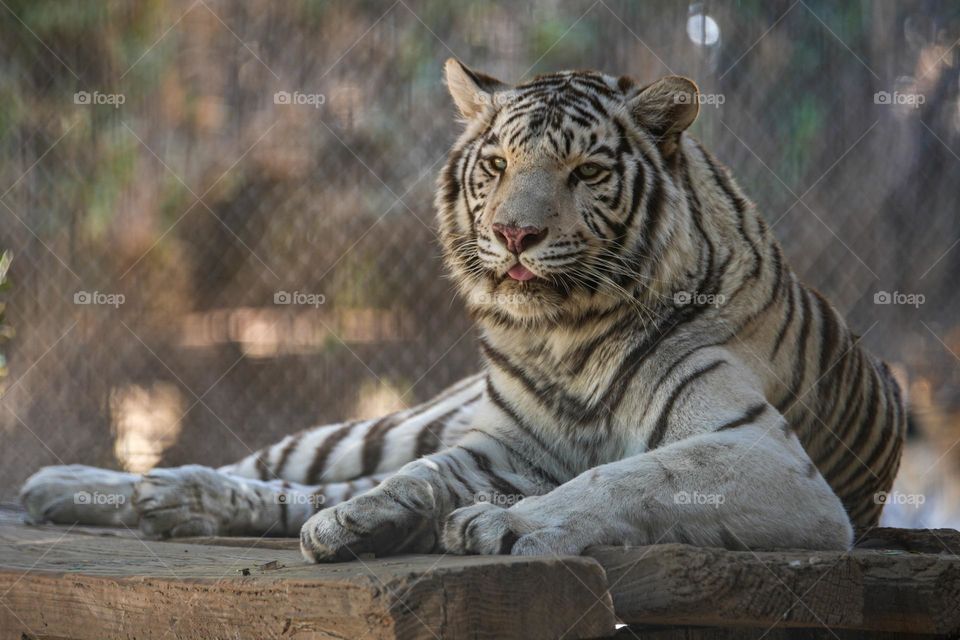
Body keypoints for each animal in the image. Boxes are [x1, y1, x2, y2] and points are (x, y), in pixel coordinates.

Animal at [21, 60, 906, 563]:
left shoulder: (765, 458)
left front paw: (500, 527)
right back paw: (86, 487)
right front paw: (371, 519)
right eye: (498, 163)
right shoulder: (503, 445)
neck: (565, 335)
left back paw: (170, 502)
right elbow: (422, 475)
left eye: (586, 172)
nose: (515, 233)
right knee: (277, 469)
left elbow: (626, 475)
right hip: (391, 424)